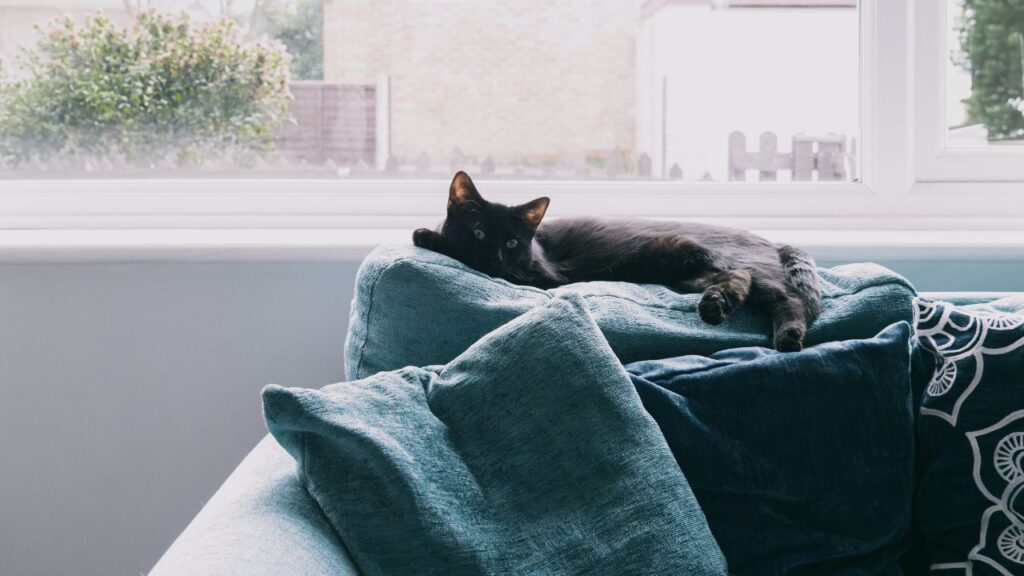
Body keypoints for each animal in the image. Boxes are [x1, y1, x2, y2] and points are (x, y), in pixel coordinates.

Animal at [411, 170, 819, 350]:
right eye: (479, 233)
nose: (495, 259)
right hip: (689, 273)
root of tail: (769, 240)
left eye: (511, 243)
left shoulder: (540, 276)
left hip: (708, 256)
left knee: (782, 295)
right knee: (740, 283)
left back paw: (787, 337)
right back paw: (715, 306)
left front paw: (426, 235)